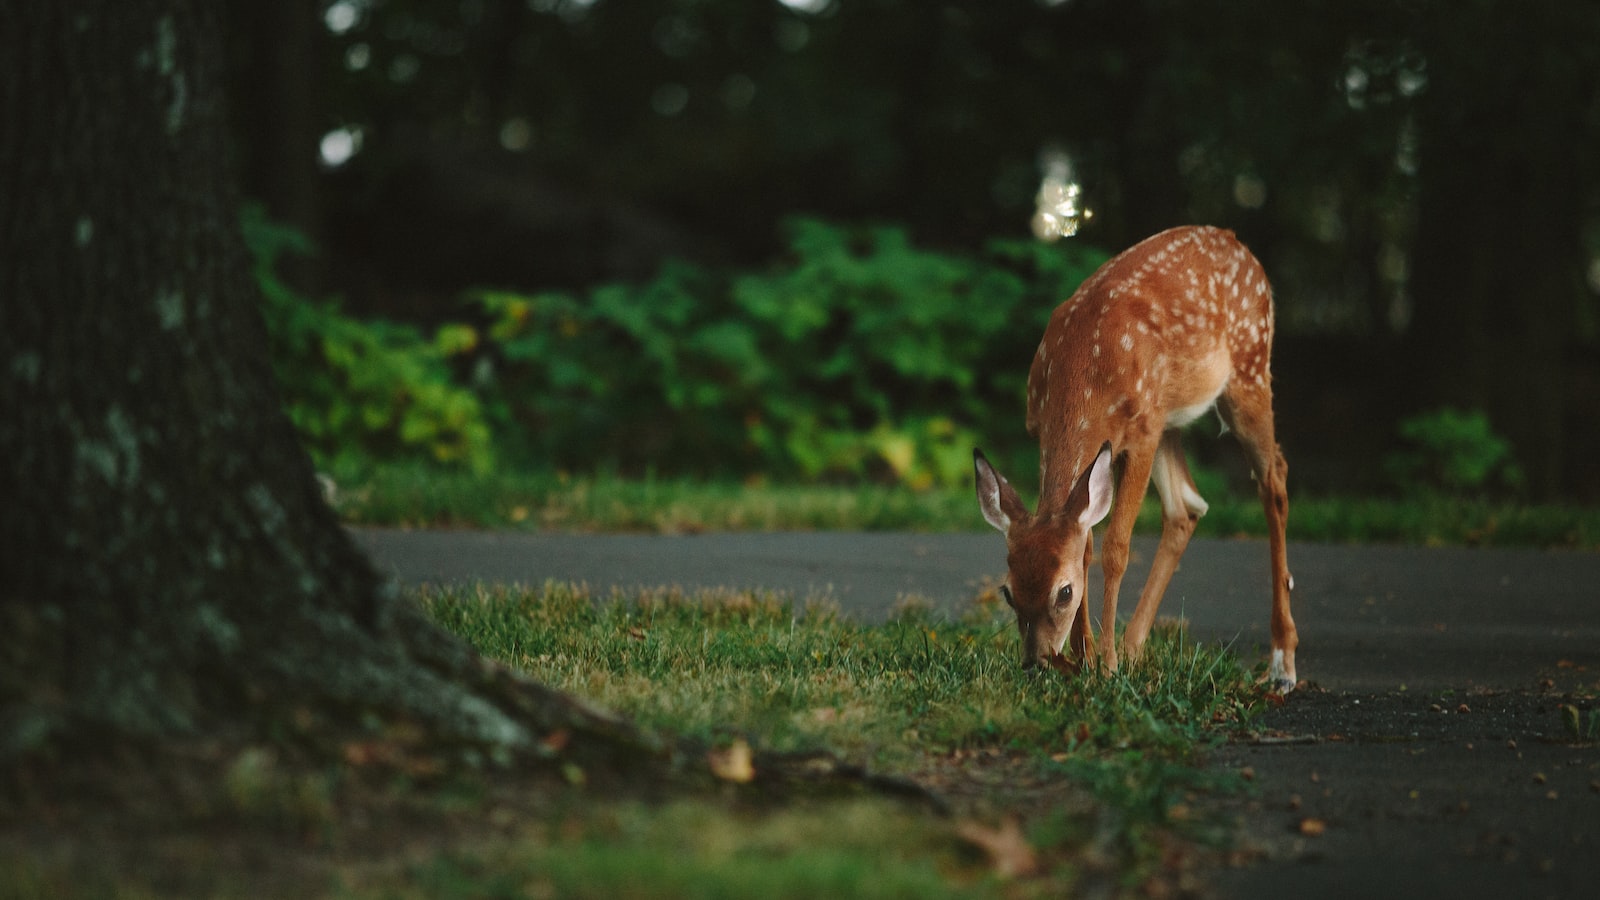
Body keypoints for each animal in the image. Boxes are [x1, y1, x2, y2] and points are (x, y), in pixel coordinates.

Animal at [972, 224, 1299, 695]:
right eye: (1008, 592)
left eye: (1063, 592)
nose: (1036, 663)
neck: (1084, 372)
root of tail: (1237, 242)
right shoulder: (1051, 432)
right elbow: (1086, 543)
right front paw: (1086, 658)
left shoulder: (1141, 433)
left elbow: (1115, 548)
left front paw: (1104, 665)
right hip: (1171, 418)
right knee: (1187, 506)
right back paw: (1133, 648)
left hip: (1248, 370)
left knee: (1274, 479)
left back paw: (1282, 664)